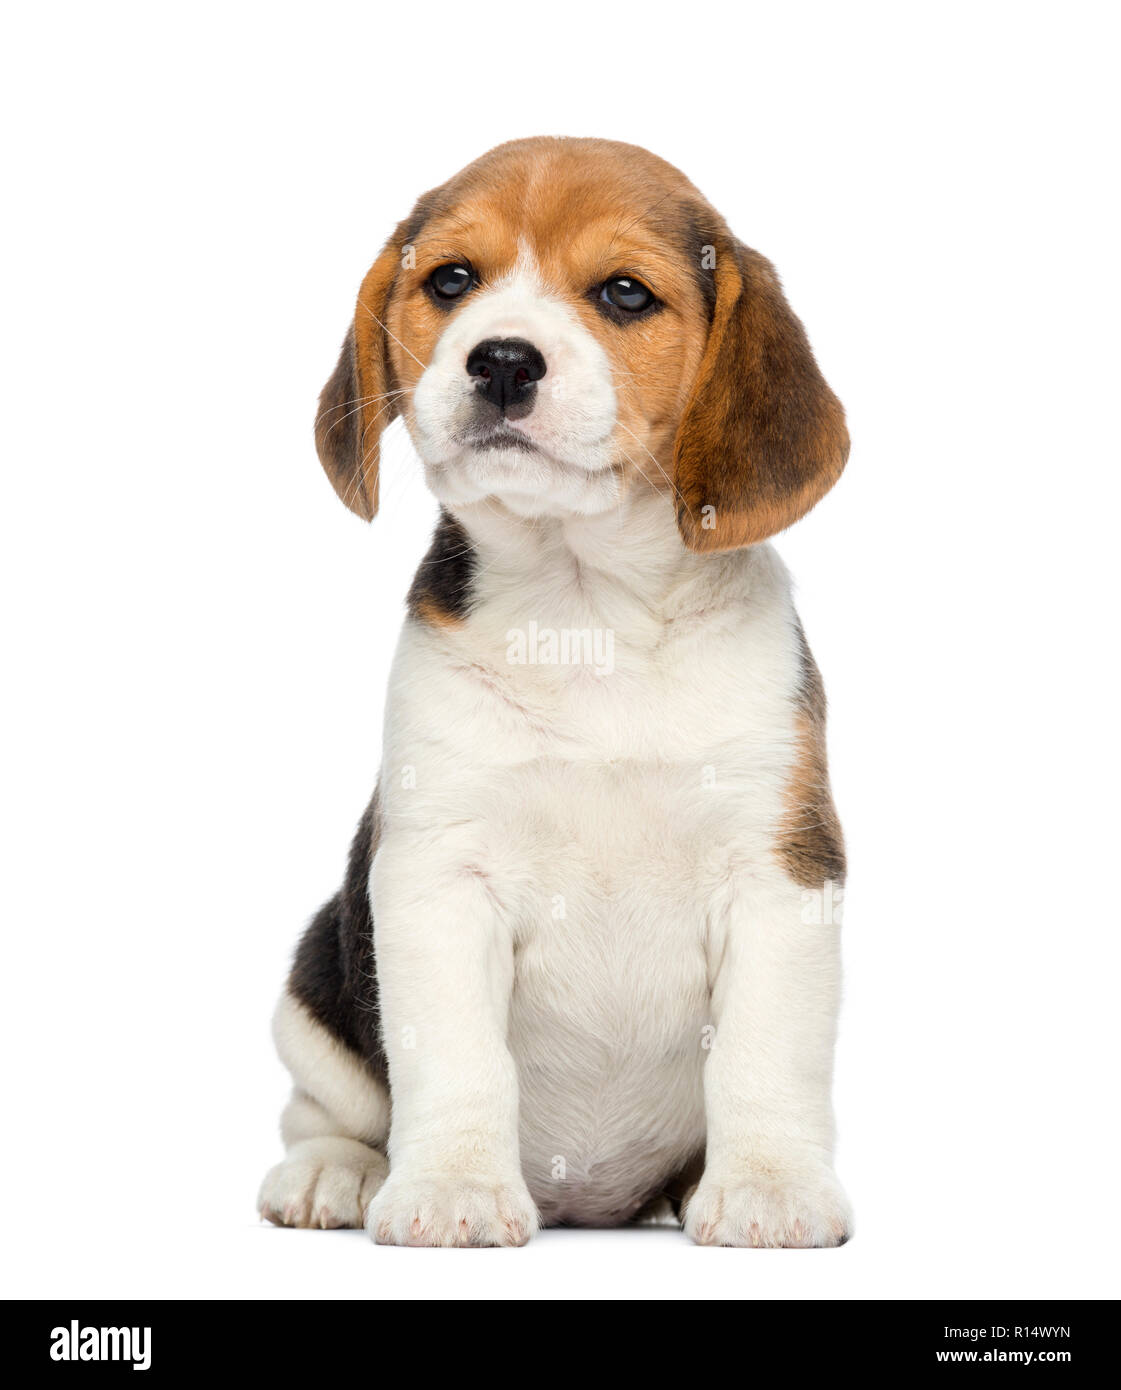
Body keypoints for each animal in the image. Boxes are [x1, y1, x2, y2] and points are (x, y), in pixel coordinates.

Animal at [258, 138, 851, 1251]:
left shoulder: (779, 872)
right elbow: (456, 1059)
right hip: (316, 977)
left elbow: (764, 1054)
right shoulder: (436, 877)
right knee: (329, 1108)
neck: (585, 611)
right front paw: (450, 1185)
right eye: (452, 281)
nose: (500, 360)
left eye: (623, 293)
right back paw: (335, 1175)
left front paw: (767, 1188)